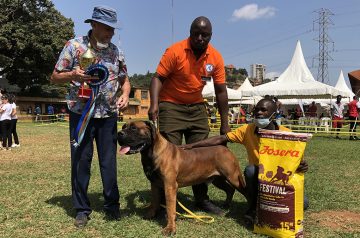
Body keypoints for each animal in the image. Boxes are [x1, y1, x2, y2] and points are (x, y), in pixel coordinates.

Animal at [118, 121, 248, 236]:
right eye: (124, 127)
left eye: (134, 128)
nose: (119, 133)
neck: (151, 153)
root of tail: (225, 148)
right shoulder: (154, 184)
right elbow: (154, 201)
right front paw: (150, 215)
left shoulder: (169, 186)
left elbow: (170, 209)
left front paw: (170, 228)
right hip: (218, 179)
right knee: (229, 189)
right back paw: (226, 205)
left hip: (234, 178)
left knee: (244, 191)